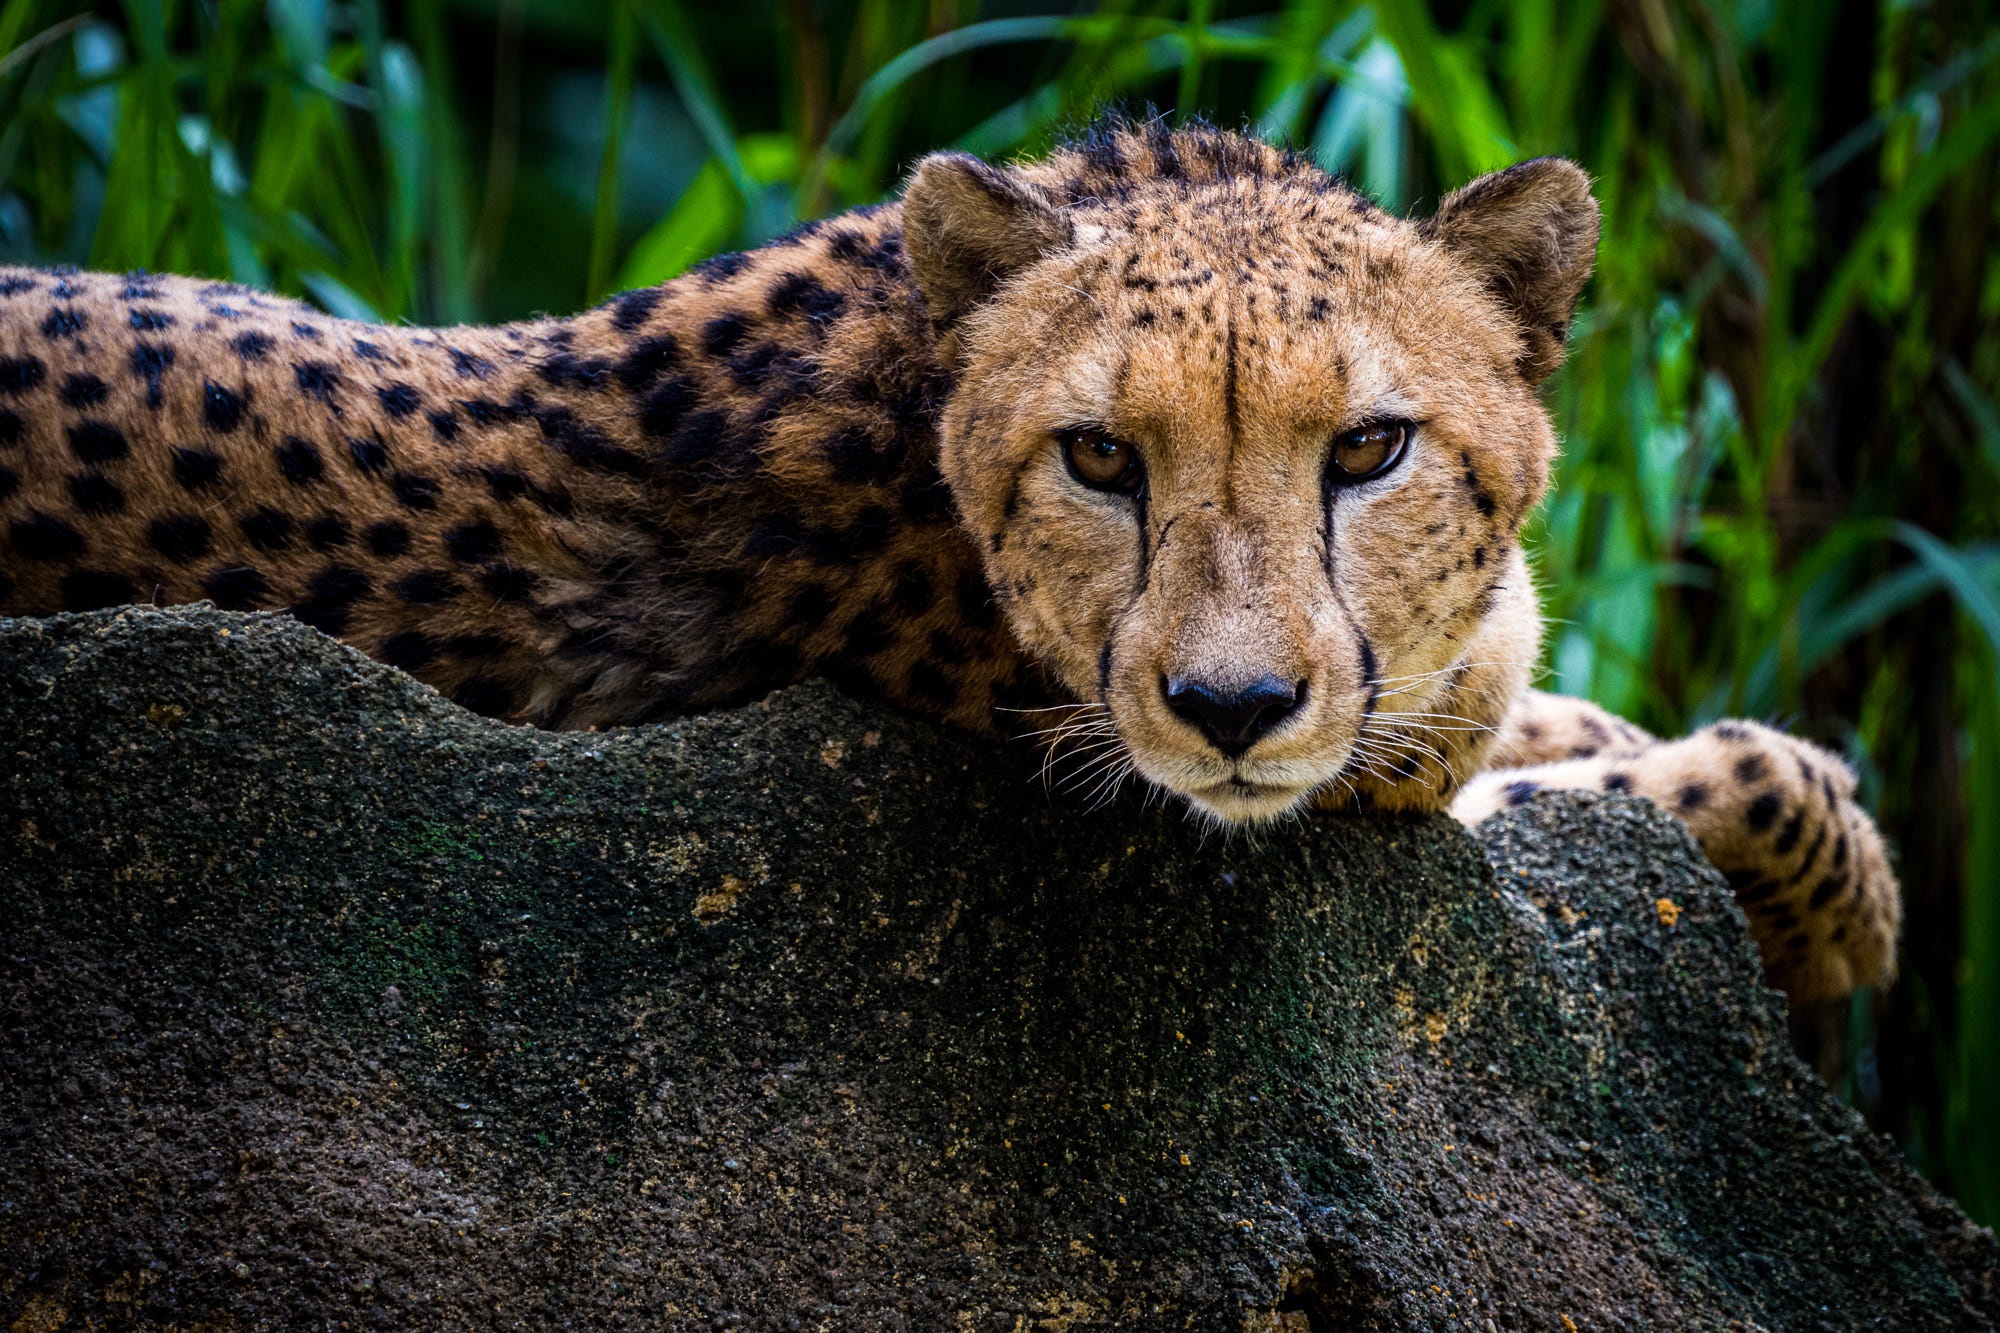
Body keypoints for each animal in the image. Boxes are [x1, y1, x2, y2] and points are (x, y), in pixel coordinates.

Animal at [0, 122, 1896, 996]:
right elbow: (1628, 776)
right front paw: (1836, 868)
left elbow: (1547, 699)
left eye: (1368, 448)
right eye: (1100, 457)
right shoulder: (1269, 789)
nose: (1229, 707)